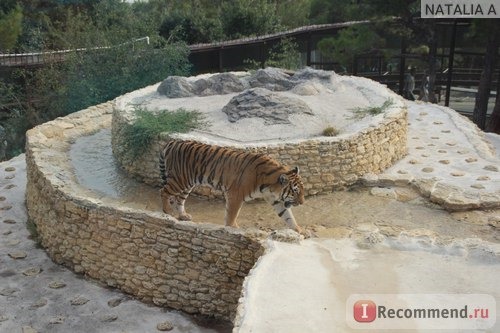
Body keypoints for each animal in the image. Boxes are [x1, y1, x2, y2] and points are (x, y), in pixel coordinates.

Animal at [158, 139, 304, 232]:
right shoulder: (235, 194)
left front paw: (299, 230)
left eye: (302, 190)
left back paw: (183, 216)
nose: (302, 203)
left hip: (187, 183)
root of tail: (173, 142)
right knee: (164, 191)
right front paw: (232, 228)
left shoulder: (275, 200)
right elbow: (232, 214)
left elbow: (288, 216)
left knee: (179, 199)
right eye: (295, 191)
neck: (271, 187)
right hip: (179, 180)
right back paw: (167, 211)